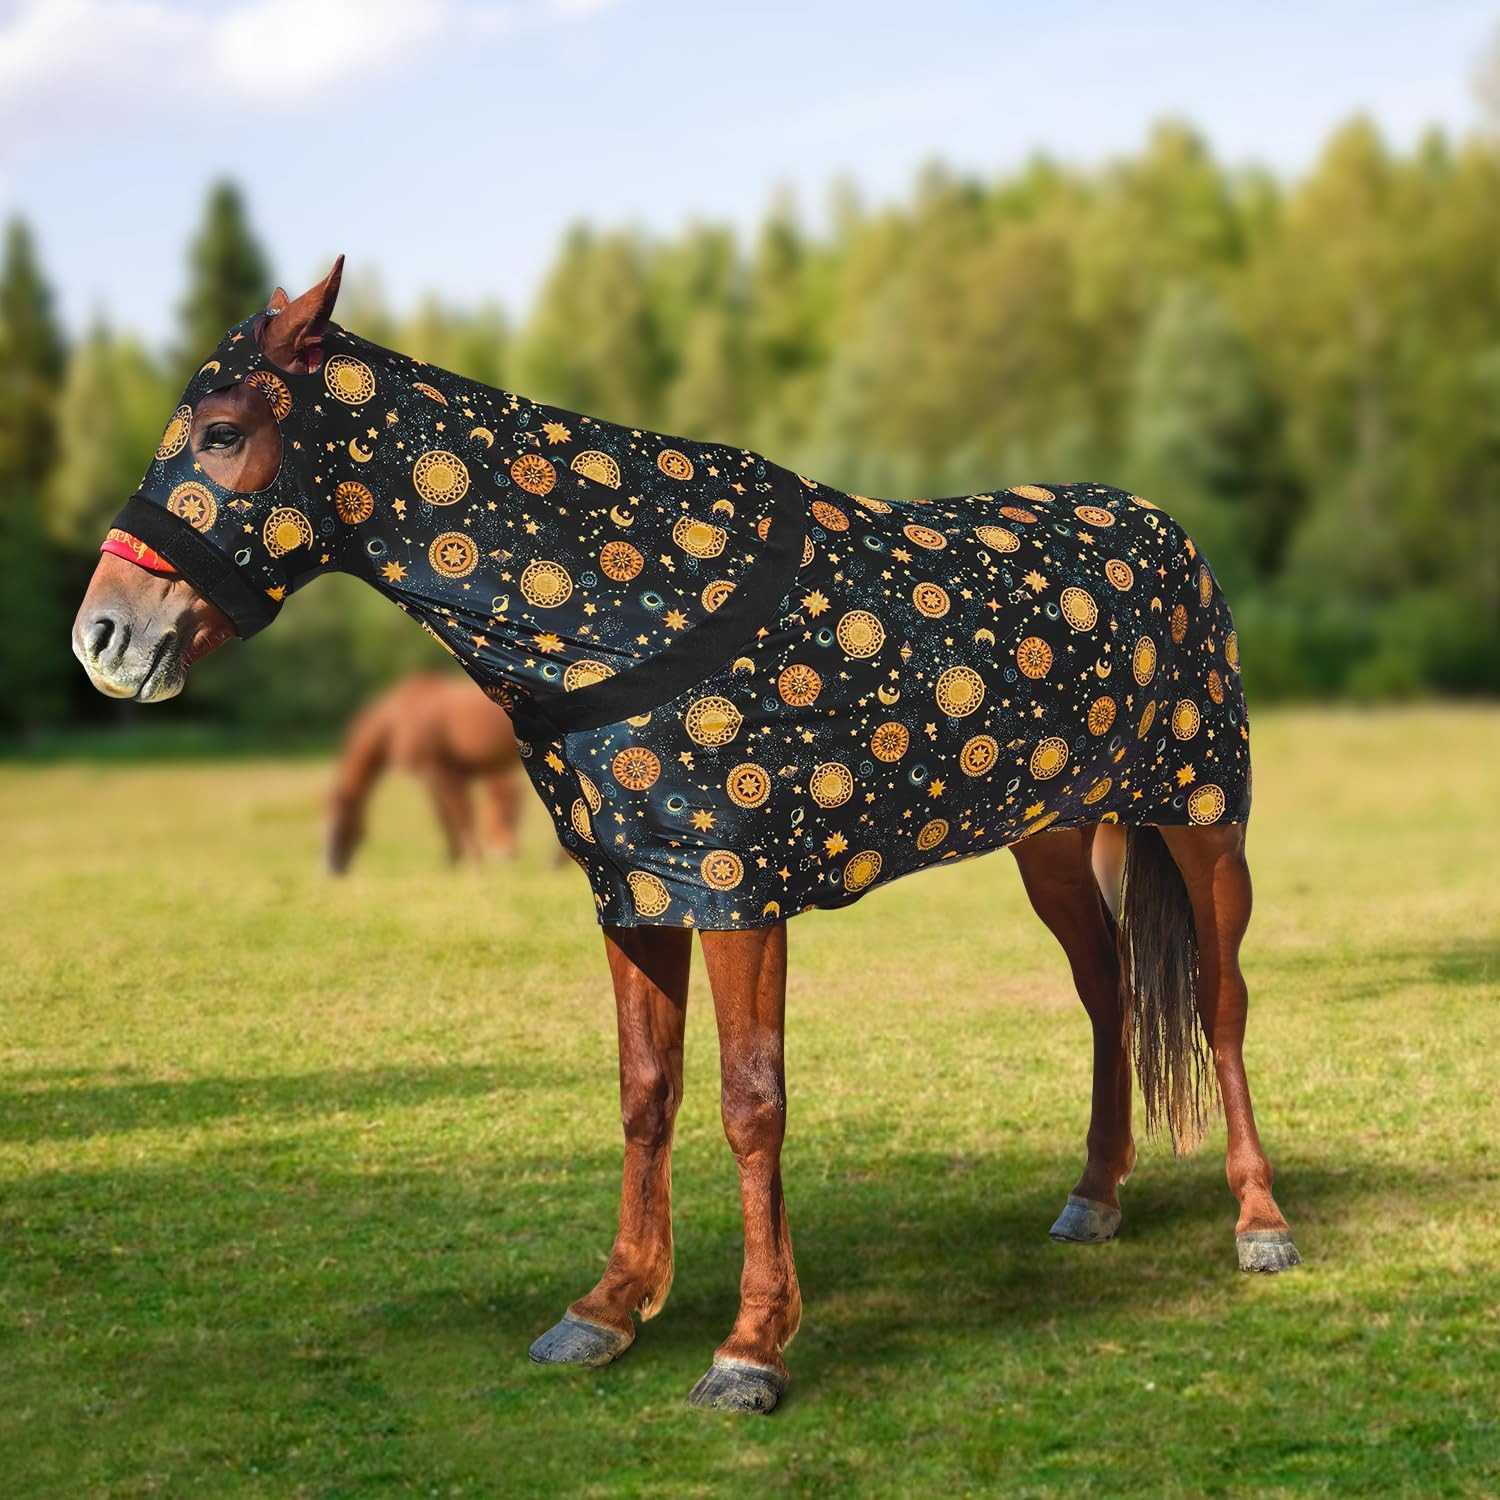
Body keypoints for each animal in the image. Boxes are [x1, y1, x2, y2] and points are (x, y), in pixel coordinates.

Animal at [326, 672, 526, 874]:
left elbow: (460, 817)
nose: (331, 868)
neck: (399, 720)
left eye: (340, 822)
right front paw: (451, 864)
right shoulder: (439, 778)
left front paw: (473, 865)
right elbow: (446, 818)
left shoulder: (440, 772)